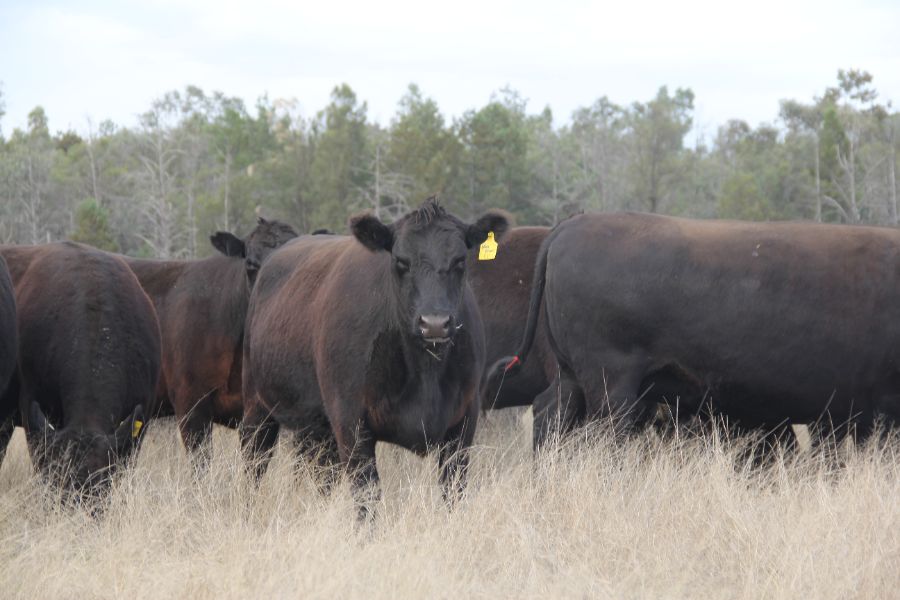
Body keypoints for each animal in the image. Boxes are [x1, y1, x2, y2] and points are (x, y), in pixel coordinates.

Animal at [241, 198, 508, 511]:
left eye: (460, 261)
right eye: (401, 261)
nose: (434, 323)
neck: (424, 371)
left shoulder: (464, 421)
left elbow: (452, 491)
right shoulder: (351, 422)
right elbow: (366, 495)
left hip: (315, 427)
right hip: (256, 406)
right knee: (254, 464)